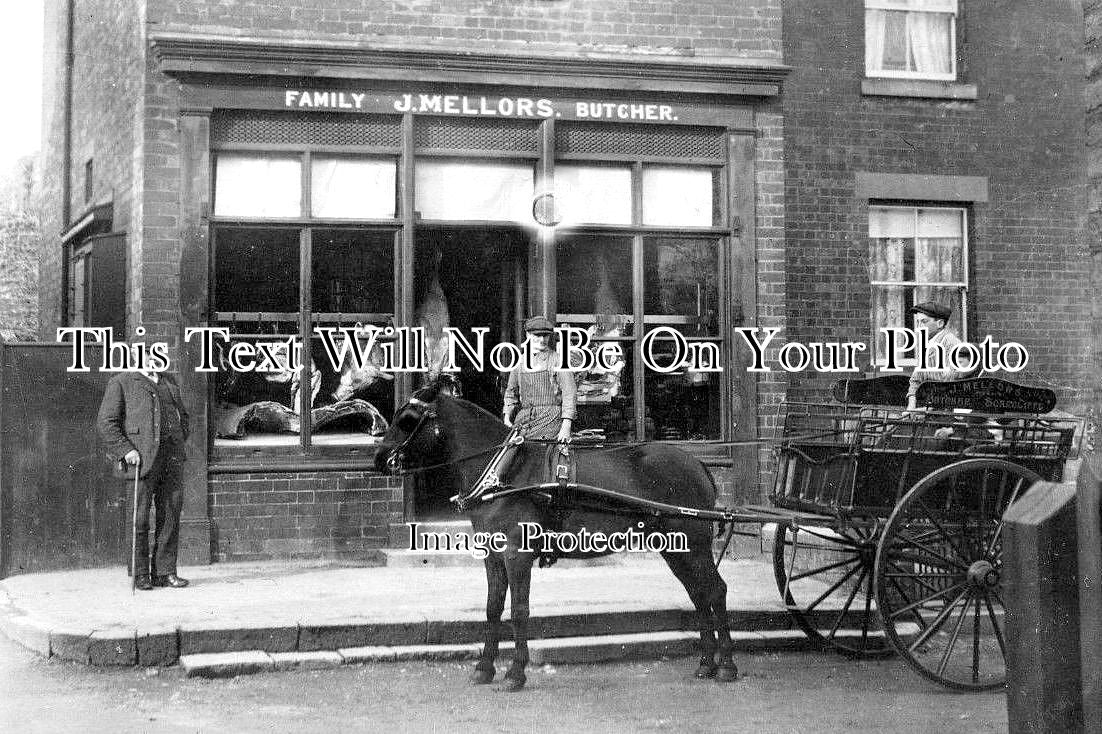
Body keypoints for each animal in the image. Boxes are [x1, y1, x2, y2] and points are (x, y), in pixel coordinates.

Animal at [374, 379, 736, 687]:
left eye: (408, 419)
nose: (378, 458)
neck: (502, 472)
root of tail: (697, 464)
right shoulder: (492, 555)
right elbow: (492, 608)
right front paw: (484, 668)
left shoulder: (516, 555)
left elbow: (519, 610)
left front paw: (515, 672)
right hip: (676, 547)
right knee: (699, 593)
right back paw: (707, 663)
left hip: (693, 544)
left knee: (715, 591)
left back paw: (727, 665)